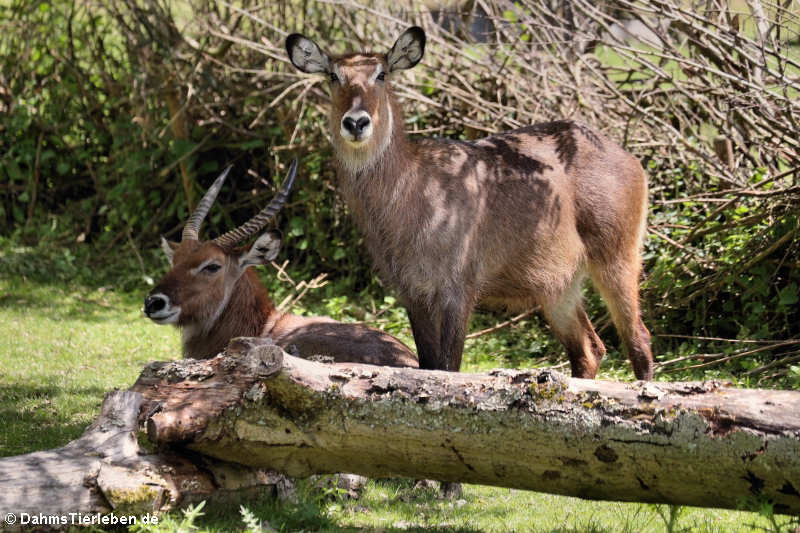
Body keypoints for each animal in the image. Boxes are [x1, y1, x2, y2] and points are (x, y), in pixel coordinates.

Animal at [284, 28, 652, 378]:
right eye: (333, 75)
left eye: (382, 73)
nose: (356, 122)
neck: (410, 192)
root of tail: (629, 158)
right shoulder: (412, 292)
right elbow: (428, 365)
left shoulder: (458, 288)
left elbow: (449, 367)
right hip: (559, 286)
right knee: (589, 349)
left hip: (617, 258)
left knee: (639, 340)